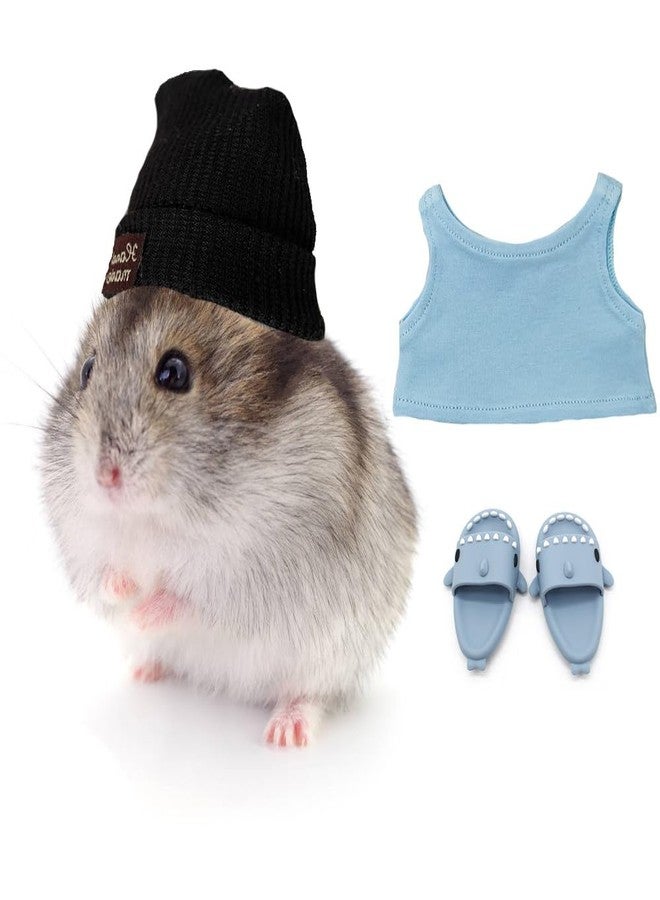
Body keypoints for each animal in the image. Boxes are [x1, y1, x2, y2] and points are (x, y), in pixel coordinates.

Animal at [40, 286, 417, 746]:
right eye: (87, 370)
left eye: (174, 372)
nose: (104, 477)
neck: (156, 516)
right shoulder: (82, 542)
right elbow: (105, 579)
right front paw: (127, 591)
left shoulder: (253, 569)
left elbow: (187, 598)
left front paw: (142, 614)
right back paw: (145, 671)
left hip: (332, 657)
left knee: (311, 693)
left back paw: (285, 733)